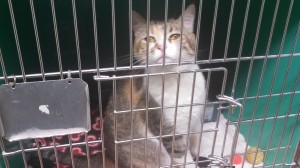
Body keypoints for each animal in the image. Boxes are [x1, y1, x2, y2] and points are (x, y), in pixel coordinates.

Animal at [103, 3, 206, 168]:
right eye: (149, 39)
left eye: (175, 36)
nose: (161, 46)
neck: (175, 79)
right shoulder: (164, 125)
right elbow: (181, 155)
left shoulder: (197, 115)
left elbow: (197, 136)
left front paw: (199, 151)